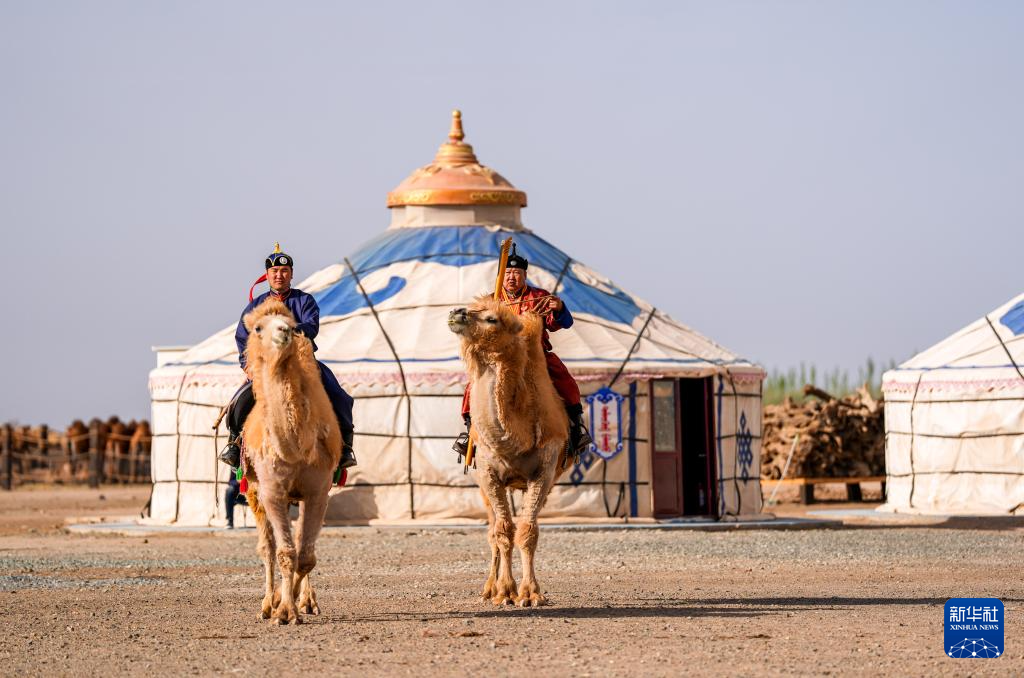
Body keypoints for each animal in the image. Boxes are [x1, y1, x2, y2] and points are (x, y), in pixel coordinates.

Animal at [237, 301, 337, 630]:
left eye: (292, 324)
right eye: (257, 328)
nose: (284, 332)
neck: (294, 447)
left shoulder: (318, 490)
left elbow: (305, 556)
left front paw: (291, 603)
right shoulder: (272, 491)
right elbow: (283, 552)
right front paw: (282, 610)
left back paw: (306, 601)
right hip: (252, 491)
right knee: (267, 547)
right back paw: (267, 604)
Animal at [448, 297, 573, 610]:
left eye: (492, 319)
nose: (455, 312)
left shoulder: (544, 471)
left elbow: (528, 531)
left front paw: (530, 593)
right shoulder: (489, 473)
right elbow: (503, 531)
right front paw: (504, 591)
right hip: (482, 484)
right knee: (493, 529)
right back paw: (488, 588)